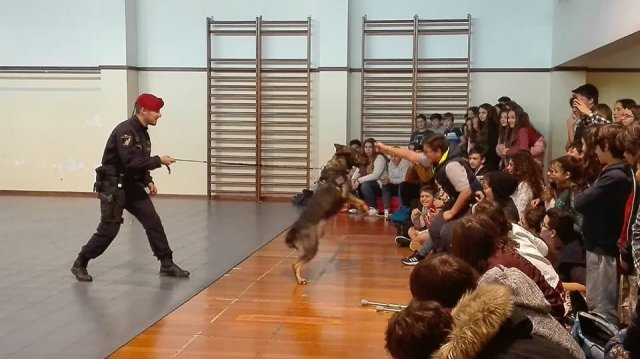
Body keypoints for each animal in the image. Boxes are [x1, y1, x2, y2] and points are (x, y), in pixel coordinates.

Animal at [286, 145, 370, 286]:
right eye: (358, 153)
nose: (368, 159)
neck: (337, 167)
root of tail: (294, 232)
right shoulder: (345, 195)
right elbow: (359, 200)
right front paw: (364, 207)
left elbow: (357, 199)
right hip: (311, 247)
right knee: (294, 265)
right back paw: (300, 279)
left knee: (295, 263)